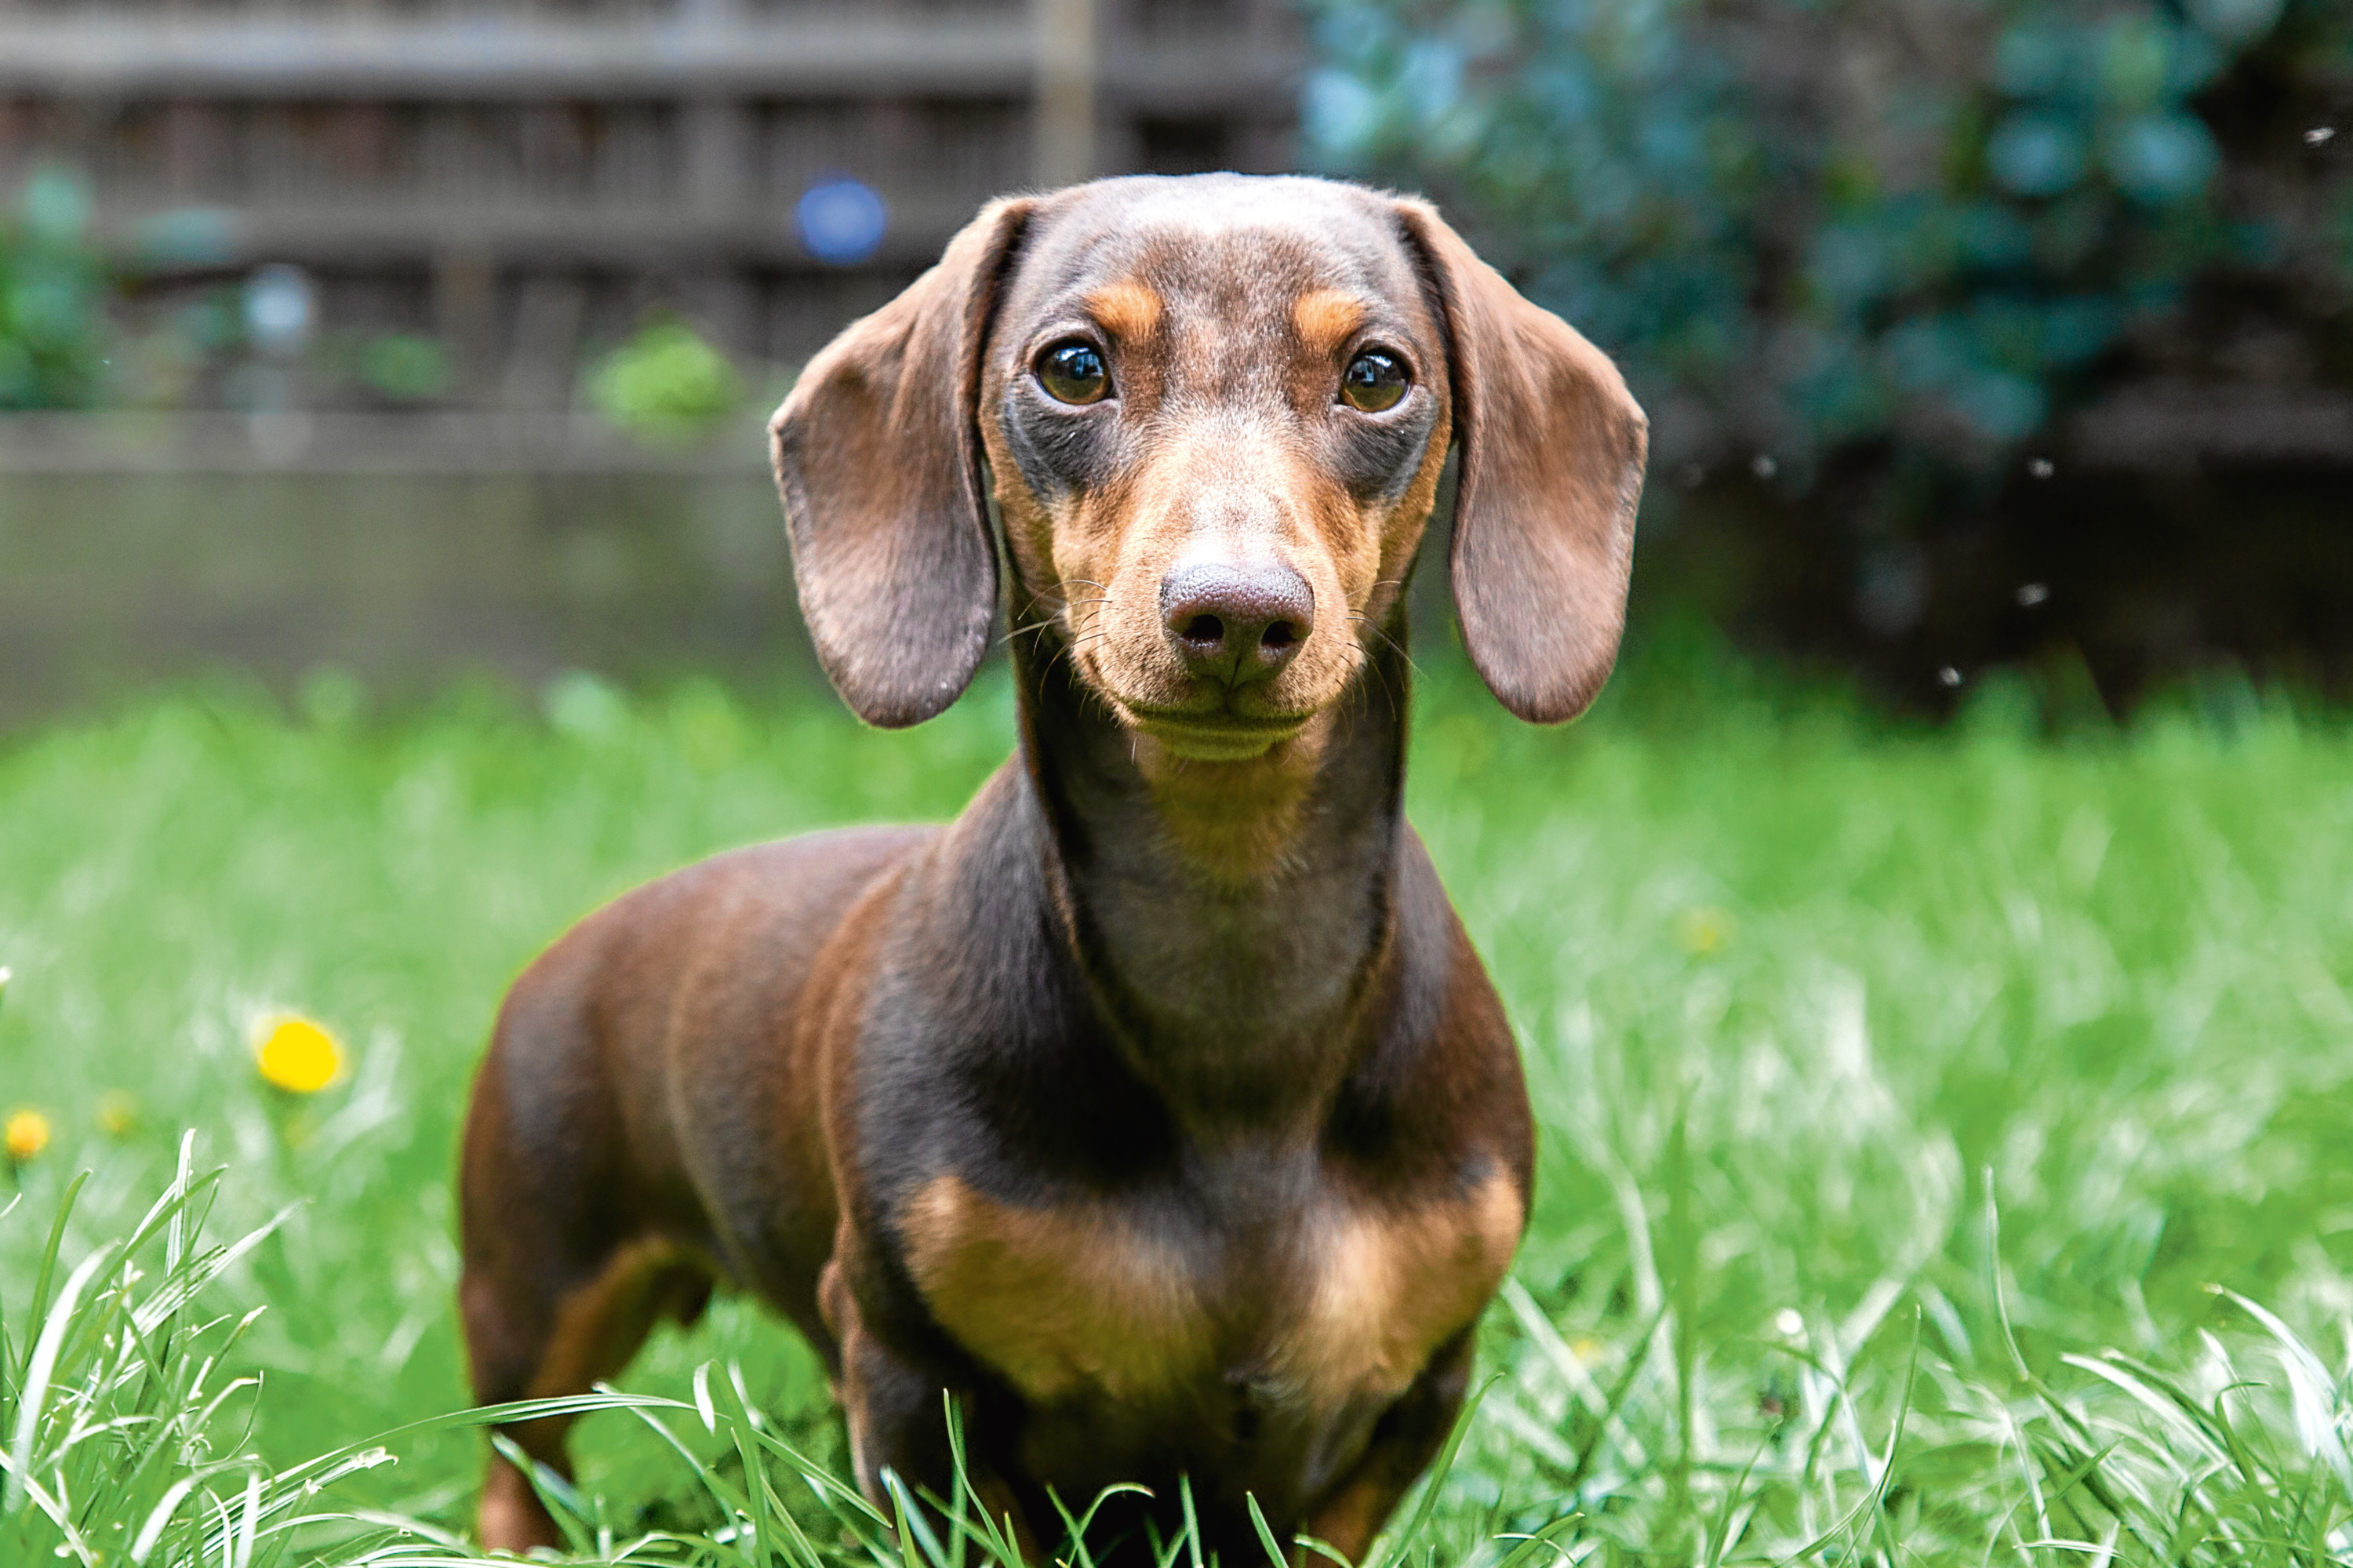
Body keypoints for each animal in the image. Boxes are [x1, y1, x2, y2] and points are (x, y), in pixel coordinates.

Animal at [454, 168, 1638, 1553]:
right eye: (1072, 365)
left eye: (1378, 374)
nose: (1239, 612)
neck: (1235, 979)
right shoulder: (914, 1382)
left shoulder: (1414, 1394)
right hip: (534, 1296)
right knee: (516, 1466)